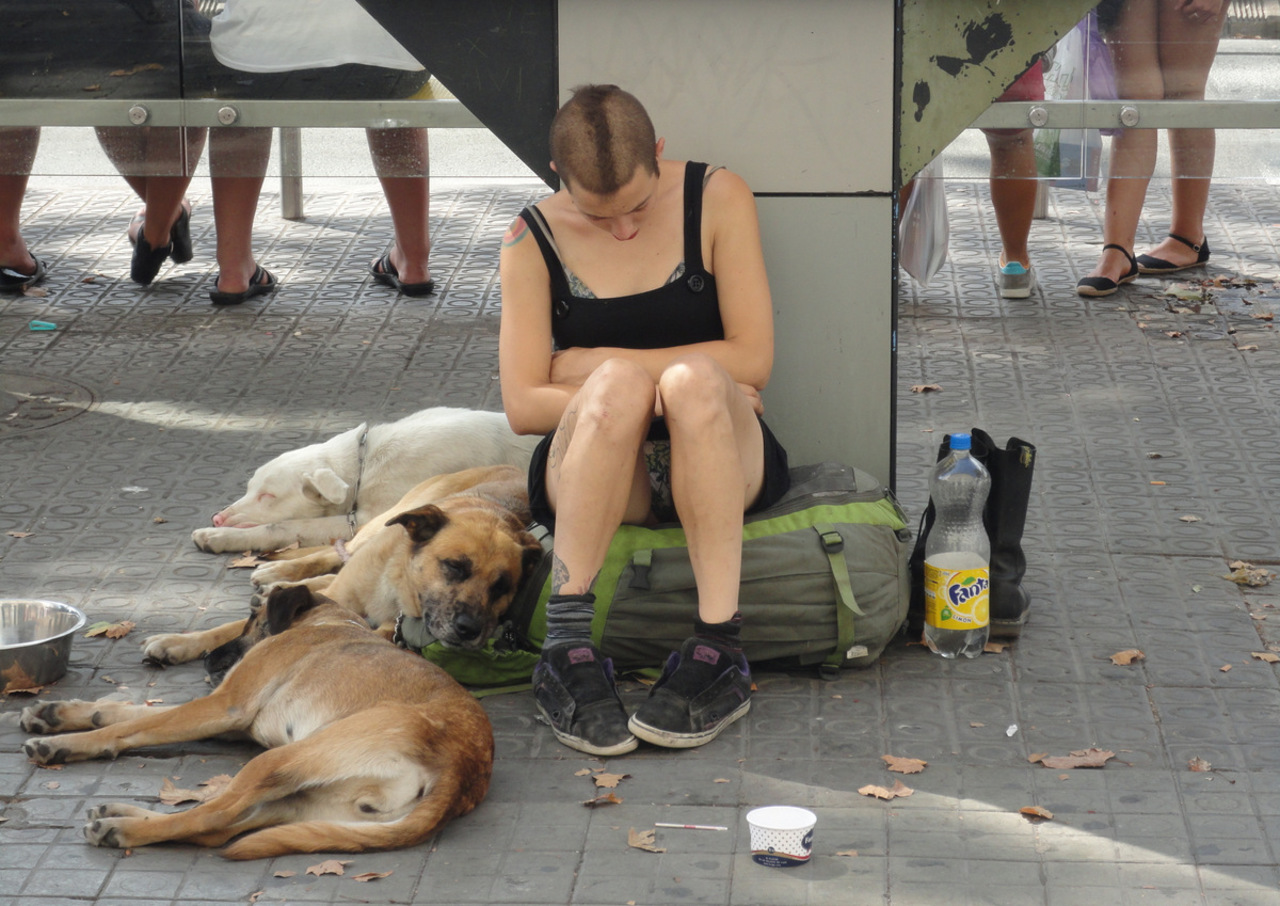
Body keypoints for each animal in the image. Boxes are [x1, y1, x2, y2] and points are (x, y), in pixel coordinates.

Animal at [21, 585, 494, 860]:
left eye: (252, 619)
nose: (209, 658)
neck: (327, 620)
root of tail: (462, 770)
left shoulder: (224, 706)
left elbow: (126, 727)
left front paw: (67, 742)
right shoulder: (224, 716)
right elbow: (133, 712)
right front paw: (57, 714)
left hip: (281, 761)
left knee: (210, 817)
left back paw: (120, 827)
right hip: (301, 800)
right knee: (219, 828)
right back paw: (126, 815)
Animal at [145, 464, 544, 667]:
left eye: (502, 587)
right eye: (454, 567)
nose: (469, 630)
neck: (399, 590)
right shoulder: (343, 594)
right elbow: (226, 627)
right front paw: (179, 642)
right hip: (386, 518)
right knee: (338, 551)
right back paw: (271, 570)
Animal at [192, 407, 541, 553]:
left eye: (269, 496)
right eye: (249, 488)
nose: (218, 518)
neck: (365, 464)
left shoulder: (369, 518)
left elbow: (284, 527)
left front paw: (217, 537)